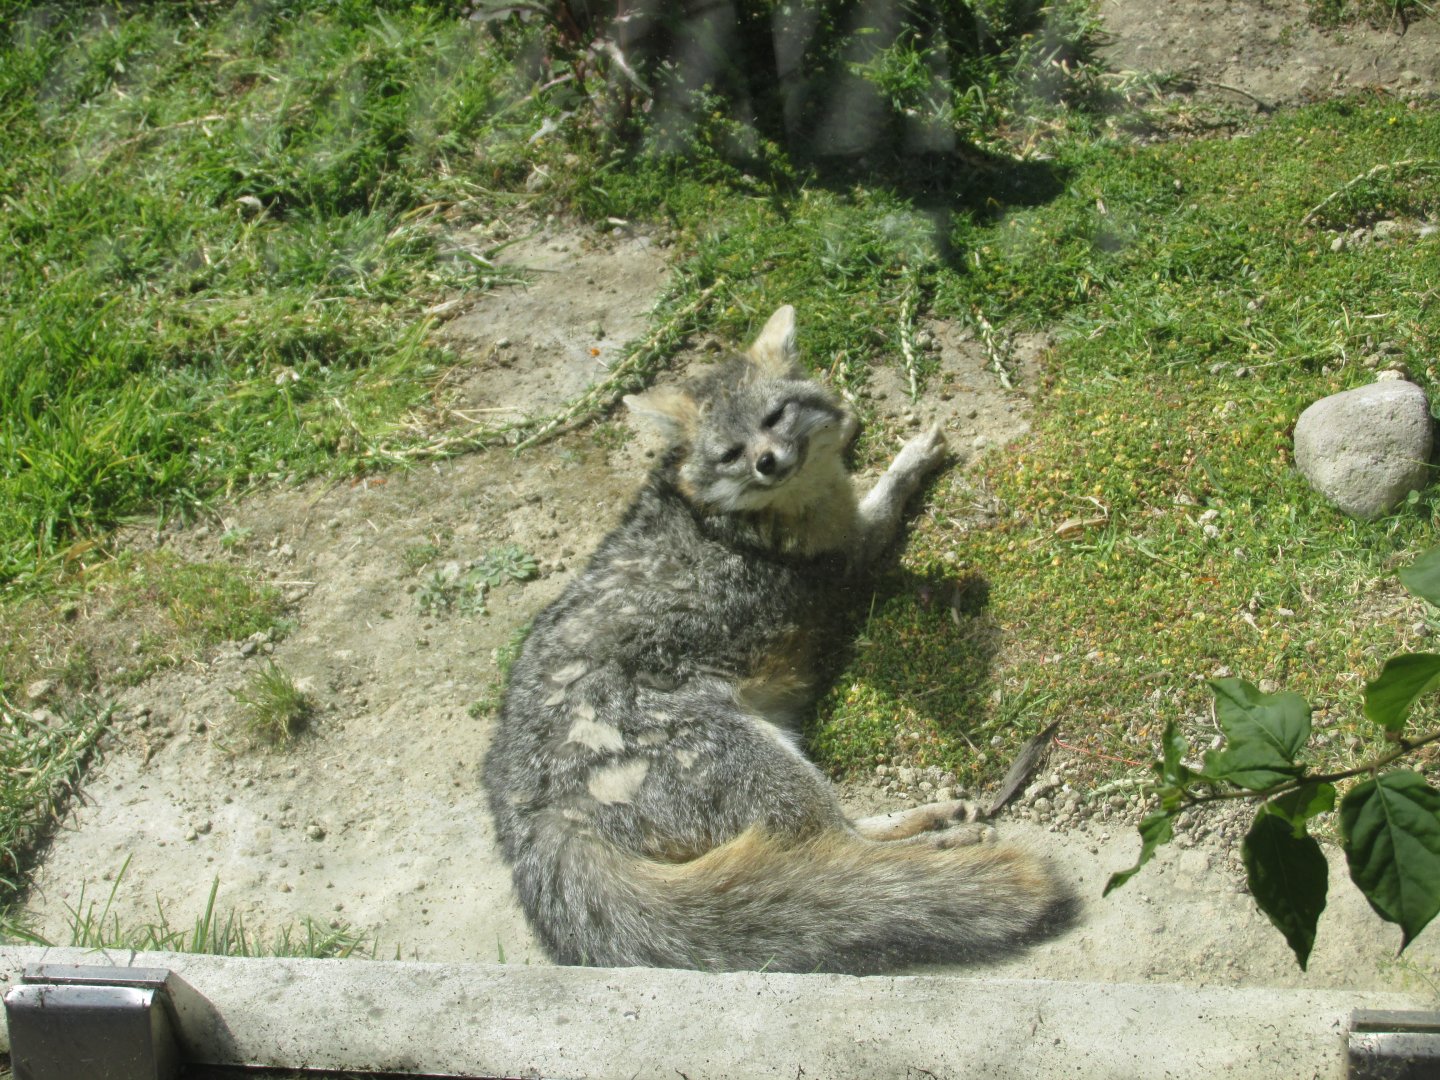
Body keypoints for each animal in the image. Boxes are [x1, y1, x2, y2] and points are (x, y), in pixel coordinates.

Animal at [482, 304, 1073, 972]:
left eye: (774, 418)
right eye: (732, 453)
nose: (770, 462)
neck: (711, 508)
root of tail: (530, 819)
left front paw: (847, 417)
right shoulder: (850, 552)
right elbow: (883, 501)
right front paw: (909, 460)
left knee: (834, 839)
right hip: (761, 758)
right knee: (839, 847)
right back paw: (944, 838)